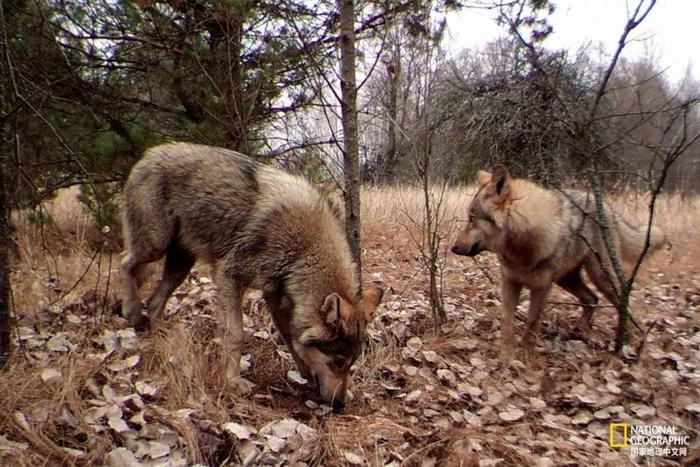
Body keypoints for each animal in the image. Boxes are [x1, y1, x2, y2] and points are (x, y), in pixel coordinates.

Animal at [120, 141, 382, 408]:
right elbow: (236, 335)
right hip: (155, 246)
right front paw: (233, 381)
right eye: (338, 361)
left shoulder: (275, 296)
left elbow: (292, 340)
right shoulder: (229, 276)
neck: (304, 251)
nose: (340, 404)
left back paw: (161, 332)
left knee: (154, 300)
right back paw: (132, 311)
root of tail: (150, 153)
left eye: (351, 363)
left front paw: (306, 374)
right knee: (123, 263)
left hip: (181, 264)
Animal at [452, 165, 664, 358]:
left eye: (471, 218)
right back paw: (580, 332)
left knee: (622, 302)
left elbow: (532, 323)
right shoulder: (510, 282)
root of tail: (607, 208)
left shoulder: (542, 287)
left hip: (599, 276)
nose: (453, 248)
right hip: (567, 279)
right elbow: (507, 323)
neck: (522, 246)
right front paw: (506, 358)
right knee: (592, 299)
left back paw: (628, 342)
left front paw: (526, 357)